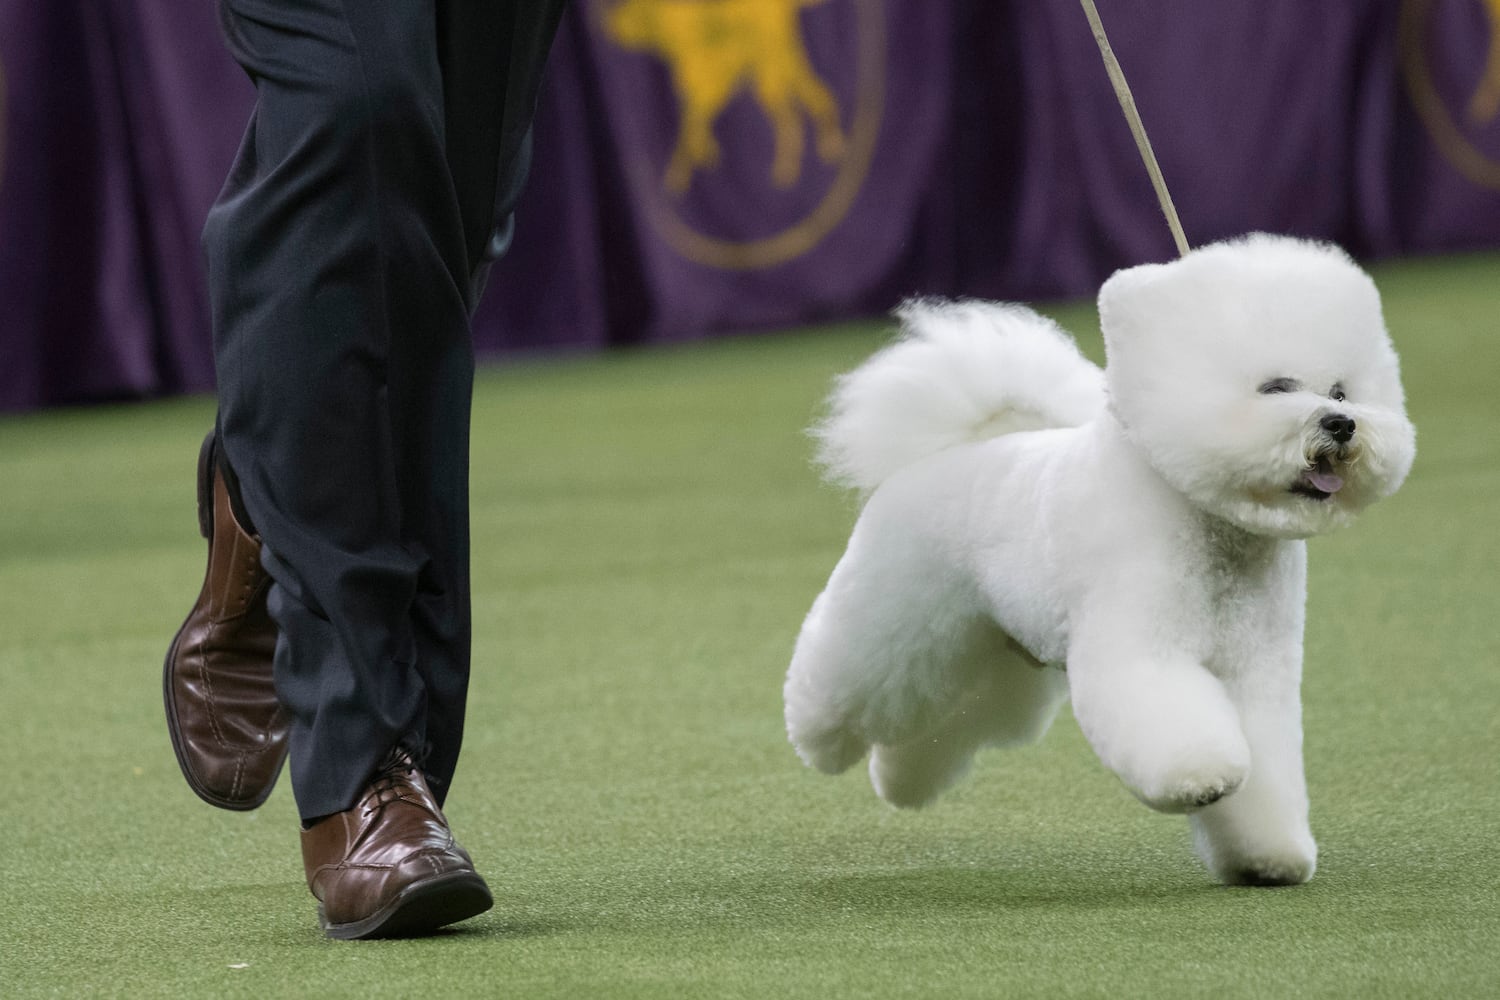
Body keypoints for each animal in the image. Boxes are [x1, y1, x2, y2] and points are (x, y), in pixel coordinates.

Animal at [786, 232, 1416, 881]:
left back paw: (899, 781)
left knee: (944, 721)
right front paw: (1204, 779)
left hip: (990, 656)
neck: (1210, 528)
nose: (1342, 424)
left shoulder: (1253, 673)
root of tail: (950, 453)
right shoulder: (1143, 649)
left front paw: (1269, 856)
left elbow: (1267, 765)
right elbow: (1178, 729)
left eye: (1341, 391)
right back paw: (816, 740)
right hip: (894, 624)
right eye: (1275, 388)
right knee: (844, 685)